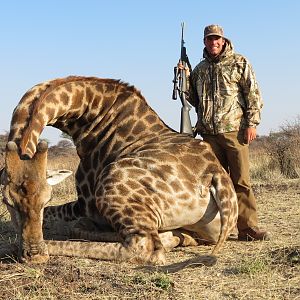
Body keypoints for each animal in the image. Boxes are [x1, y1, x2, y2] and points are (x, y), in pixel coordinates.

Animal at [1, 76, 238, 264]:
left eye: (46, 199)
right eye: (8, 201)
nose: (34, 254)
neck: (89, 116)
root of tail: (215, 176)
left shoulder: (85, 203)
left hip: (110, 184)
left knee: (146, 248)